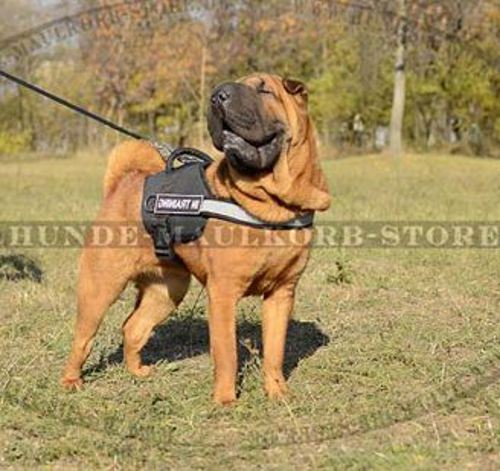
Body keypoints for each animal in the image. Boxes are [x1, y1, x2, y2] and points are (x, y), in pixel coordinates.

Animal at [60, 74, 330, 406]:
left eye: (263, 89)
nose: (218, 95)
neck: (273, 204)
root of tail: (120, 184)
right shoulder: (223, 293)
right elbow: (227, 353)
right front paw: (225, 401)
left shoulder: (282, 293)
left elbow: (275, 353)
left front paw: (278, 393)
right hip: (100, 288)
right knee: (82, 338)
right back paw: (71, 381)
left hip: (167, 291)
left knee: (133, 327)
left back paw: (137, 372)